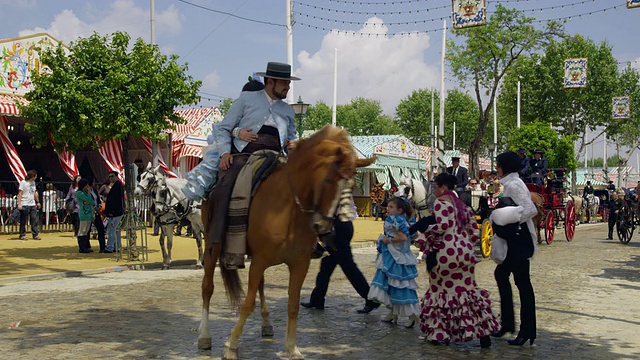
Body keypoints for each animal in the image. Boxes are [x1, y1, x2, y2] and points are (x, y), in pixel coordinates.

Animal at [198, 125, 372, 358]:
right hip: (212, 245)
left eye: (351, 185)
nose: (324, 226)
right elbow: (247, 303)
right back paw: (204, 335)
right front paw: (231, 346)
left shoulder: (298, 264)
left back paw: (266, 324)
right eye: (328, 180)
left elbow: (292, 304)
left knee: (261, 286)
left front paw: (291, 348)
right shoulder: (260, 260)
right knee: (207, 287)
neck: (288, 209)